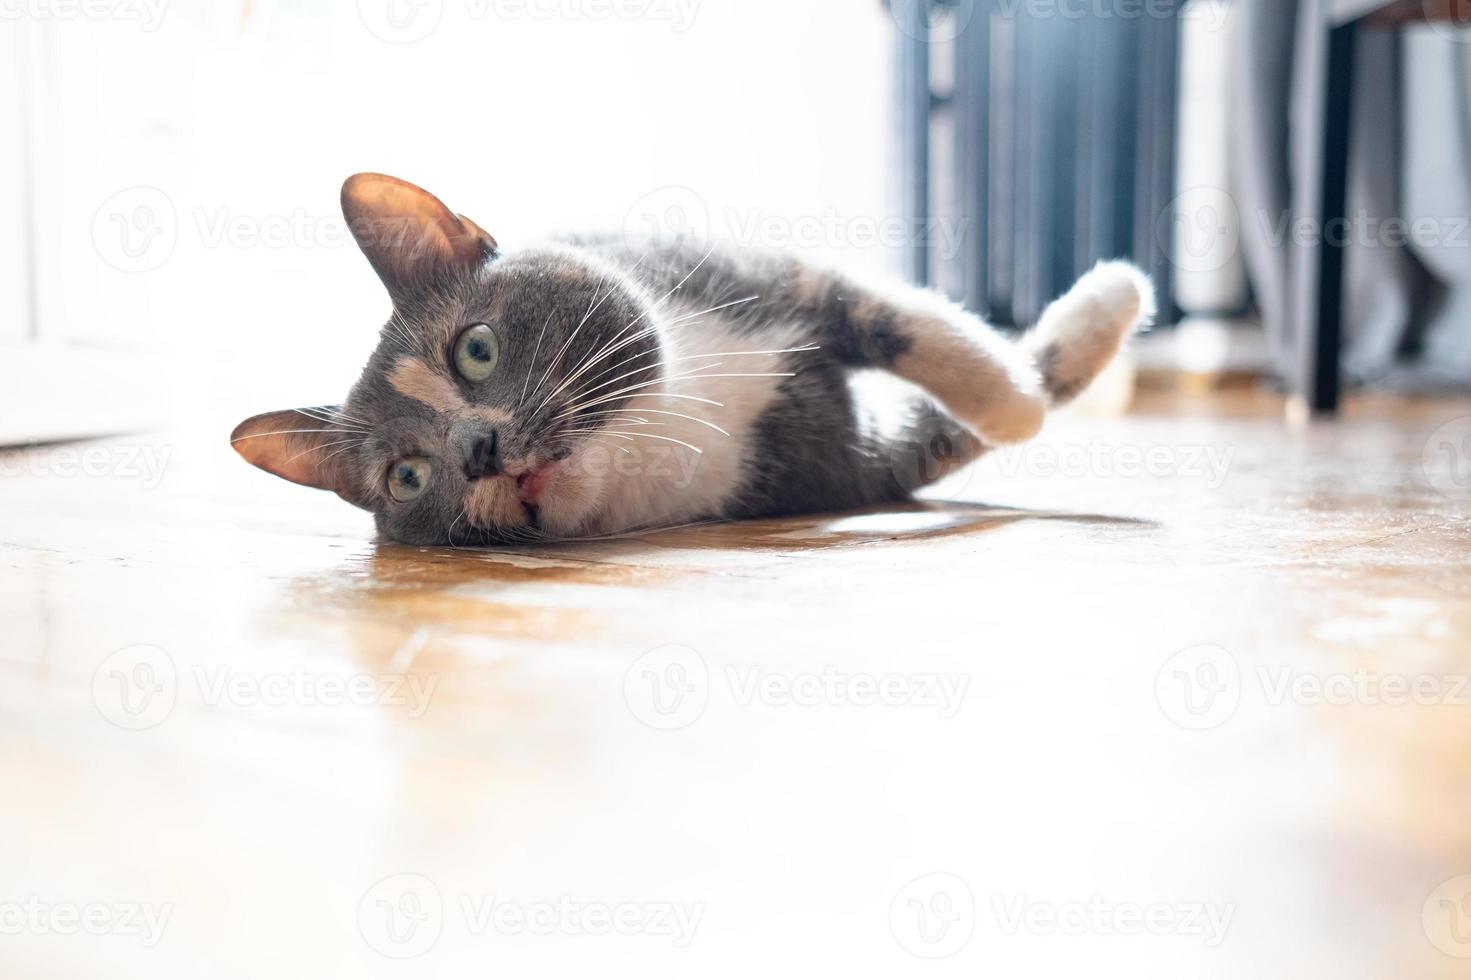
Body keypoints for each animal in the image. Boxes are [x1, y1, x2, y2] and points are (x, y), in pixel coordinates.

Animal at [229, 174, 1153, 541]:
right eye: (408, 476)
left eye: (476, 350)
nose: (478, 449)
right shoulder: (856, 466)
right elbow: (941, 428)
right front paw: (1036, 390)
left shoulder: (765, 277)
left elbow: (910, 326)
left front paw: (1086, 324)